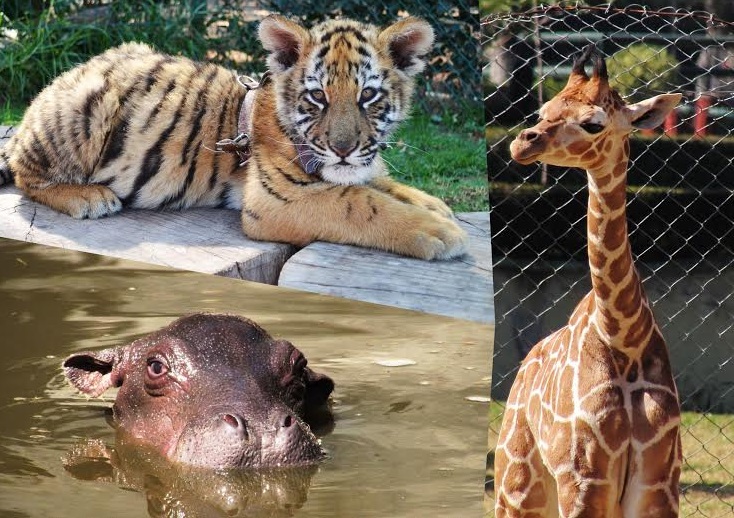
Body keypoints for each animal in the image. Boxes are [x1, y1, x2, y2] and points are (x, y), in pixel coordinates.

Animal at [0, 15, 468, 260]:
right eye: (317, 96)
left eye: (367, 95)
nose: (343, 149)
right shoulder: (278, 200)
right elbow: (361, 204)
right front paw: (441, 233)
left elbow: (380, 183)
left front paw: (434, 205)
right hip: (87, 103)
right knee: (27, 176)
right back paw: (89, 197)